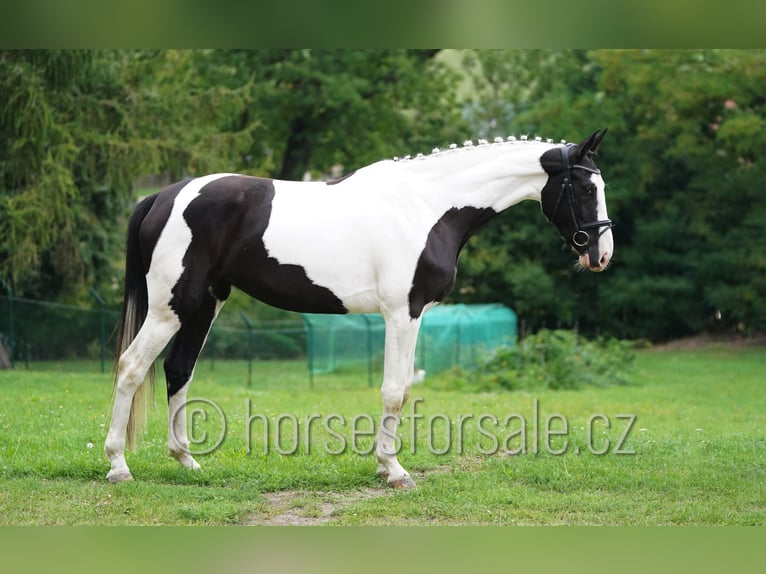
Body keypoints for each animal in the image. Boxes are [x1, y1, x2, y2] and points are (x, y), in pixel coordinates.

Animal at [104, 129, 614, 488]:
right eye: (585, 188)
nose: (600, 254)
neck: (427, 206)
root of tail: (162, 196)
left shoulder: (414, 315)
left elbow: (402, 388)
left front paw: (386, 466)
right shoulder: (401, 313)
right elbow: (393, 391)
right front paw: (394, 470)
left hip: (205, 303)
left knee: (178, 370)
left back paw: (187, 461)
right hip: (172, 306)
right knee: (131, 366)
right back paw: (118, 465)